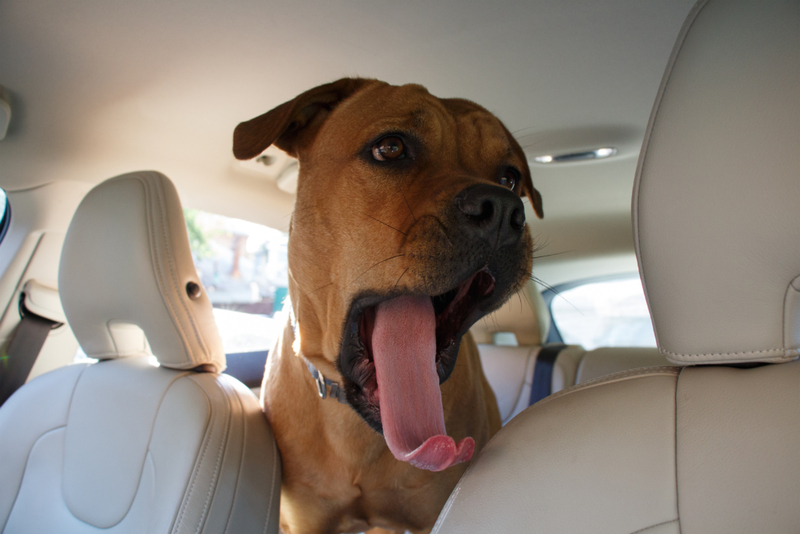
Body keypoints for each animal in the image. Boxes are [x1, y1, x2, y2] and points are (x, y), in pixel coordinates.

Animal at [233, 77, 544, 532]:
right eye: (390, 148)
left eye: (509, 178)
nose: (503, 209)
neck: (356, 422)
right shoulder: (307, 519)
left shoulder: (435, 511)